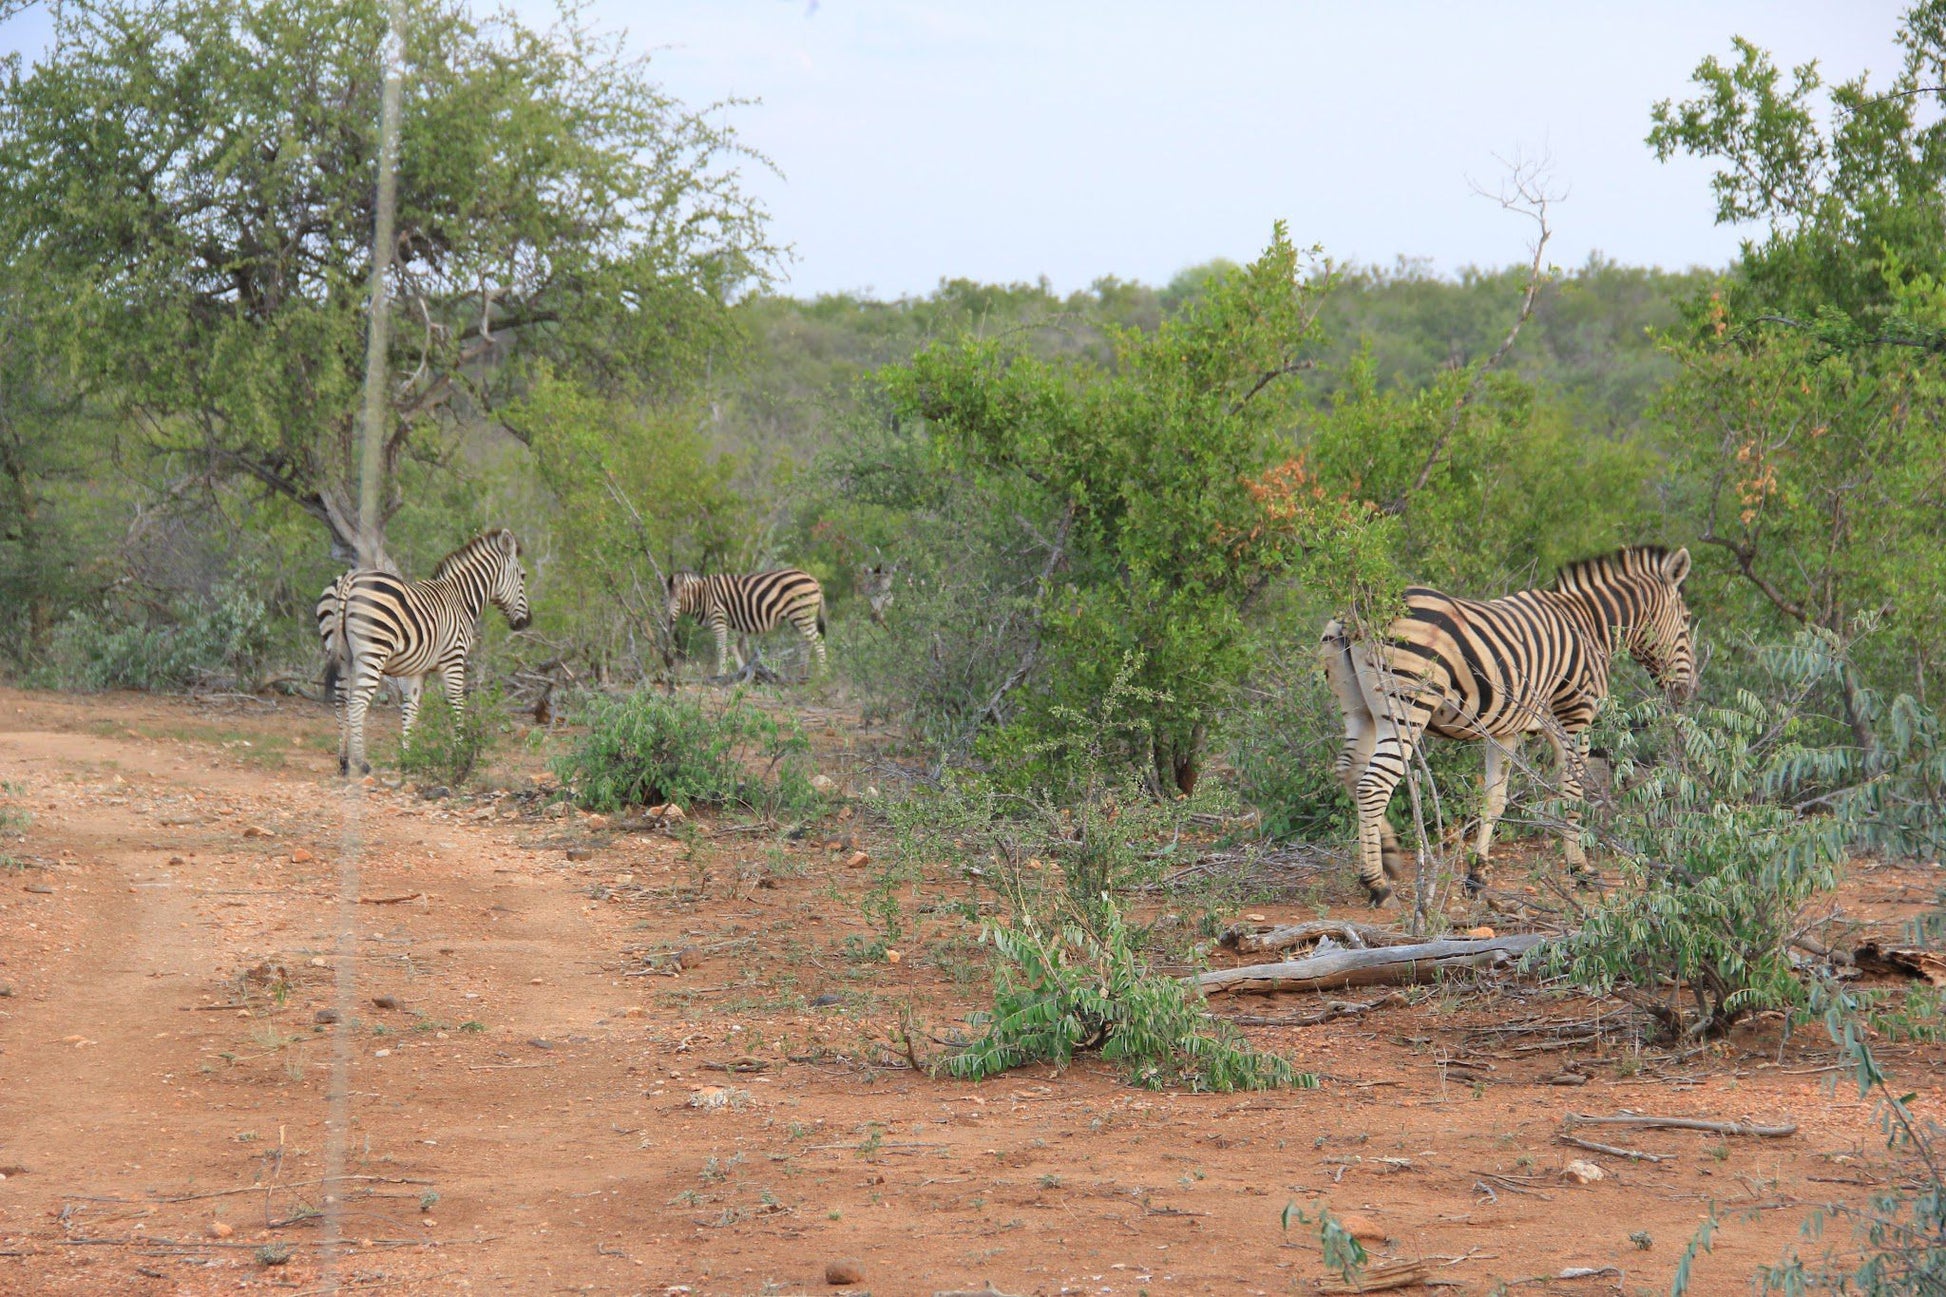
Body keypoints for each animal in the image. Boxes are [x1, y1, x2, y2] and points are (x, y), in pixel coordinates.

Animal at [319, 529, 533, 771]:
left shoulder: (416, 670)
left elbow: (410, 709)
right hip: (373, 651)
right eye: (523, 576)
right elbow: (456, 704)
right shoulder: (454, 659)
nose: (526, 622)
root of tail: (349, 580)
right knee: (356, 704)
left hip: (340, 653)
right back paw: (361, 763)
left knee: (341, 702)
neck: (460, 599)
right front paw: (459, 753)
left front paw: (407, 757)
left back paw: (344, 761)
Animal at [665, 572, 825, 681]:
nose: (670, 621)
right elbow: (732, 647)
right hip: (798, 617)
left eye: (679, 599)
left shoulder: (718, 618)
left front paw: (721, 674)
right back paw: (802, 673)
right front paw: (741, 670)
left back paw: (824, 672)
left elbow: (721, 648)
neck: (702, 596)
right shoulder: (728, 623)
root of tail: (814, 580)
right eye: (665, 598)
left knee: (818, 640)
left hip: (802, 613)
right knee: (806, 642)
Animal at [1315, 541, 1696, 899]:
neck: (1590, 625)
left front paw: (1477, 874)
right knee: (1373, 784)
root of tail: (1357, 611)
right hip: (1408, 707)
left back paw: (1389, 856)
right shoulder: (1574, 715)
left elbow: (1494, 799)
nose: (1686, 691)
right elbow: (1573, 790)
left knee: (1350, 772)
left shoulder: (1507, 729)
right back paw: (1376, 884)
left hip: (1360, 710)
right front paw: (1580, 869)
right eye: (1687, 619)